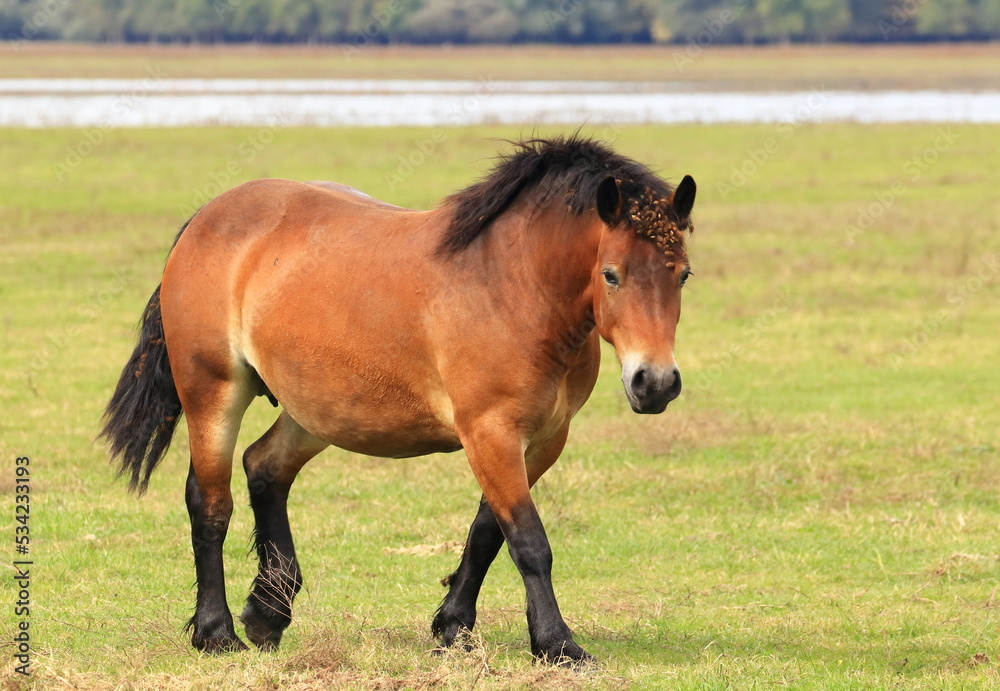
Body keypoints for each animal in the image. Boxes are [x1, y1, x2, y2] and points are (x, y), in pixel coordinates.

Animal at [100, 135, 696, 664]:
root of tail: (208, 217)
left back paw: (268, 614)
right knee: (210, 502)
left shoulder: (544, 439)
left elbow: (488, 531)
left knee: (264, 468)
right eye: (611, 275)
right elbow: (528, 541)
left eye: (683, 275)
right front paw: (557, 646)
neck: (512, 287)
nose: (655, 382)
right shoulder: (491, 433)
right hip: (214, 392)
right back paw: (216, 633)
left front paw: (454, 629)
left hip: (318, 410)